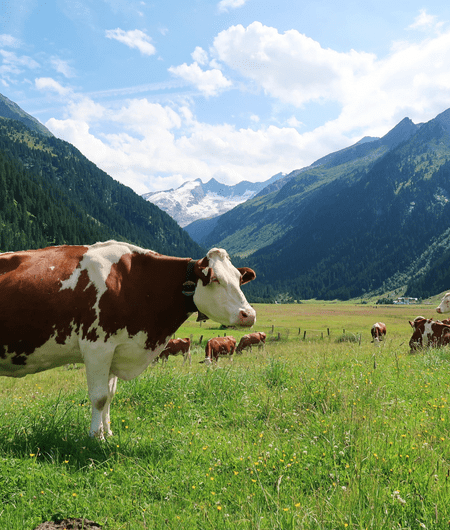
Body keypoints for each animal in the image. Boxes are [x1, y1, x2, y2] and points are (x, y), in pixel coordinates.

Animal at [0, 241, 255, 436]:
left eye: (238, 279)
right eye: (216, 279)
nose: (249, 314)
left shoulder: (116, 349)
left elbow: (110, 395)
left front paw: (109, 432)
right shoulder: (97, 347)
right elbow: (99, 397)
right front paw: (95, 437)